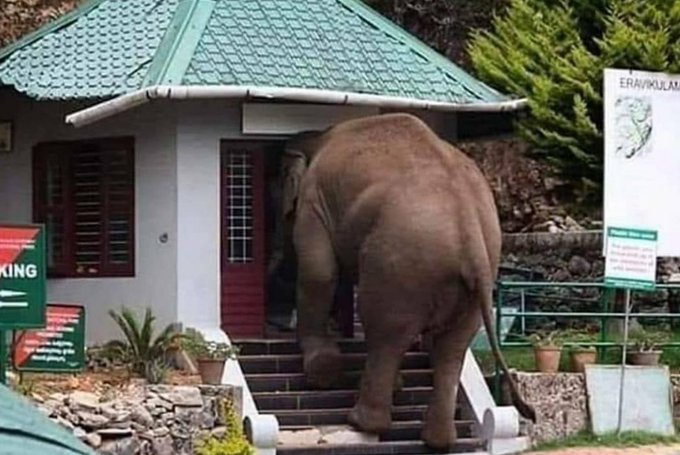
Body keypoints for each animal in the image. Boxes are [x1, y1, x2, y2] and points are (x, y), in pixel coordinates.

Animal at [279, 113, 535, 449]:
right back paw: (438, 439)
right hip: (472, 272)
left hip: (399, 263)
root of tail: (469, 226)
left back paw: (361, 421)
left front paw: (321, 373)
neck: (317, 137)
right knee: (452, 347)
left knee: (385, 330)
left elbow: (319, 273)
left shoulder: (314, 200)